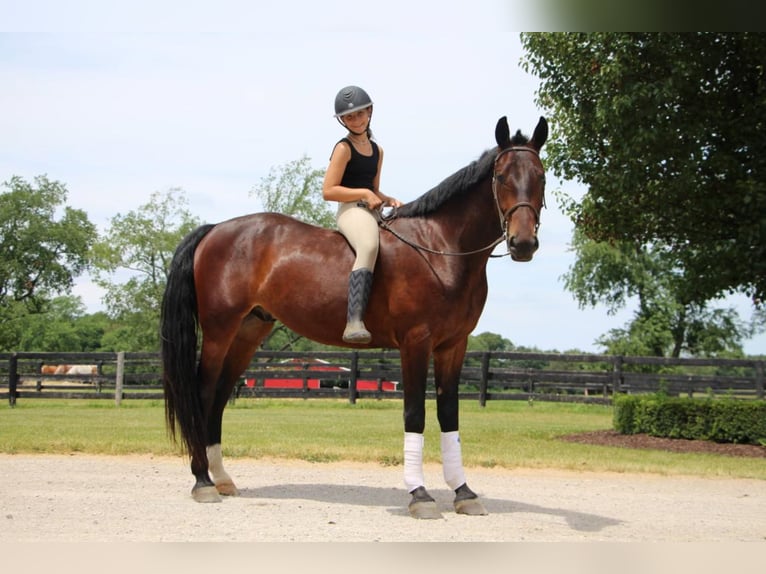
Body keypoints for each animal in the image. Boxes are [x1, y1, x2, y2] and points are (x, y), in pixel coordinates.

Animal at [162, 115, 548, 520]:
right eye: (501, 176)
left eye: (541, 175)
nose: (523, 244)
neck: (441, 247)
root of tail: (215, 229)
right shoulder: (416, 342)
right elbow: (415, 414)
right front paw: (420, 495)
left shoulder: (453, 346)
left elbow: (449, 415)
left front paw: (464, 492)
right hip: (219, 331)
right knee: (204, 393)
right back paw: (203, 482)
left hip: (249, 331)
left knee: (220, 395)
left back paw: (221, 478)